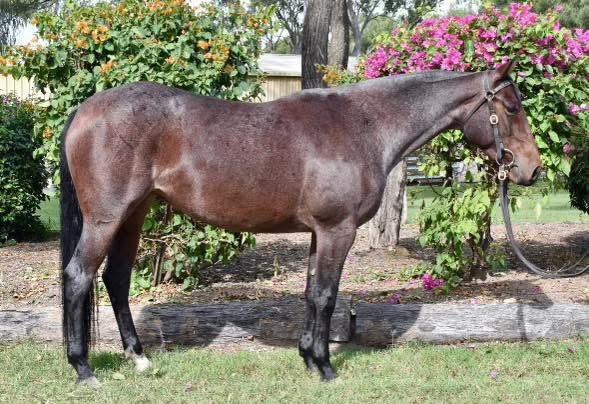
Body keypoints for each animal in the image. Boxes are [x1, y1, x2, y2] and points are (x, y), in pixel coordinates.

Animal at [59, 59, 541, 385]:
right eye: (511, 107)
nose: (532, 170)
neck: (365, 126)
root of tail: (85, 110)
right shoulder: (337, 230)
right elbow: (326, 296)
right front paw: (326, 367)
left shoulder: (318, 234)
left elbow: (311, 294)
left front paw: (309, 357)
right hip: (106, 219)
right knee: (79, 276)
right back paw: (84, 368)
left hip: (133, 214)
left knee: (116, 280)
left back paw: (138, 358)